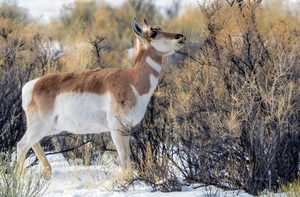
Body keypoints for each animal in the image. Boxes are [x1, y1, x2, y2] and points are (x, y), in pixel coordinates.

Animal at [17, 19, 185, 179]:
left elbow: (127, 158)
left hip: (49, 128)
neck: (131, 80)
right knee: (22, 145)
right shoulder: (116, 130)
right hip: (40, 127)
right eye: (153, 33)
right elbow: (124, 158)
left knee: (33, 144)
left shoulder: (126, 130)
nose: (181, 36)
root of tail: (32, 85)